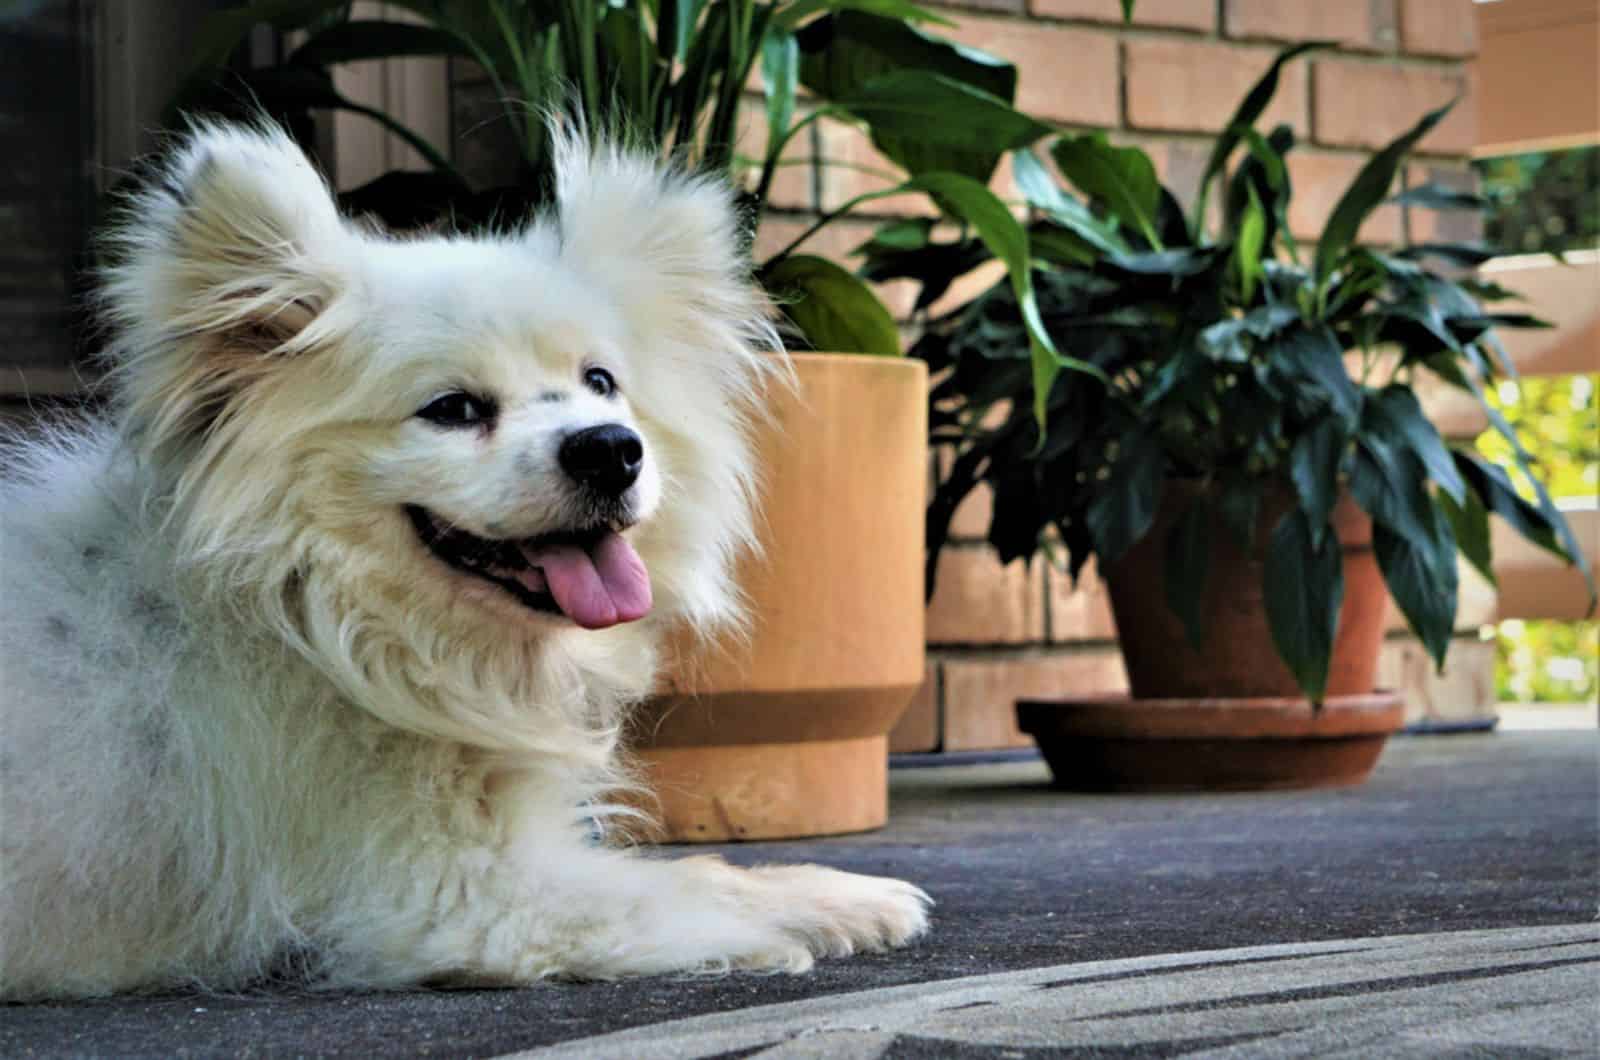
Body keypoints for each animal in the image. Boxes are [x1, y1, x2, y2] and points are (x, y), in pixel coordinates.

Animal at [0, 124, 928, 1005]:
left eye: (602, 382)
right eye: (452, 409)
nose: (610, 449)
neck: (314, 624)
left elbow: (701, 870)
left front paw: (838, 894)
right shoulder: (460, 896)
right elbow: (680, 884)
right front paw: (818, 910)